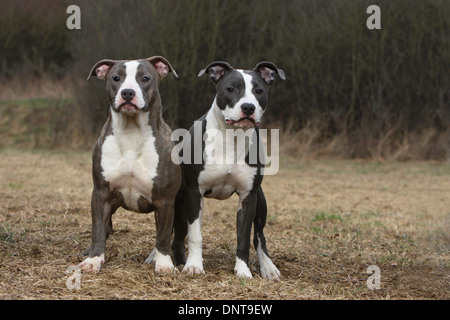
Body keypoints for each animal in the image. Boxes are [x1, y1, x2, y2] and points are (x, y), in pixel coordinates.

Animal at [172, 61, 284, 278]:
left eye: (259, 91)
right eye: (230, 89)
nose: (248, 107)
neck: (232, 138)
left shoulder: (248, 197)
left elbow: (244, 237)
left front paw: (243, 271)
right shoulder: (194, 192)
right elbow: (195, 234)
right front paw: (194, 266)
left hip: (261, 201)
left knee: (259, 235)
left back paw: (268, 267)